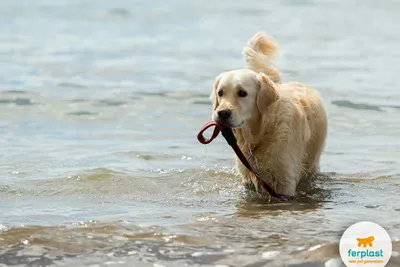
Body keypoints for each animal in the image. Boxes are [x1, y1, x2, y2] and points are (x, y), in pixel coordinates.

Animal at [211, 33, 326, 197]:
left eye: (242, 93)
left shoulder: (285, 182)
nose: (222, 113)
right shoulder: (248, 178)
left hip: (312, 162)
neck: (261, 133)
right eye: (220, 92)